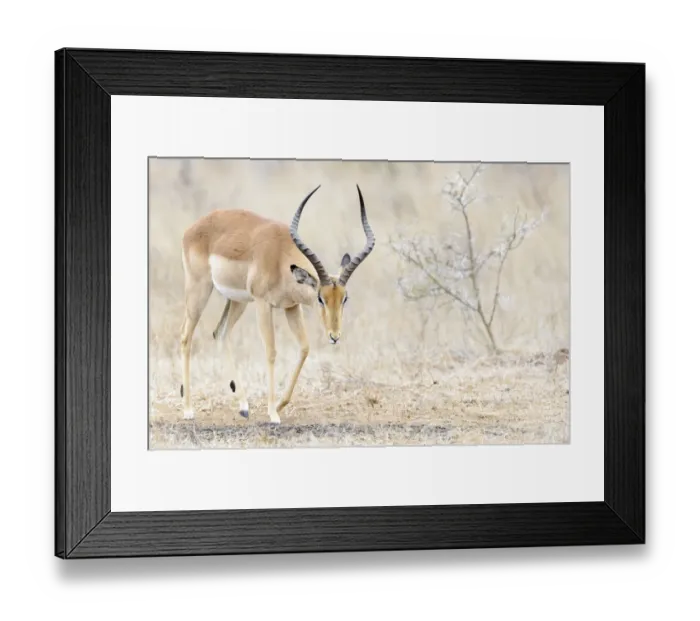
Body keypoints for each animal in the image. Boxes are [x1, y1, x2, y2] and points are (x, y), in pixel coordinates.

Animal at [179, 184, 375, 424]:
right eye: (320, 297)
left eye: (344, 298)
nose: (334, 336)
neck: (280, 257)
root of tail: (193, 228)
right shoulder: (263, 304)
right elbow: (271, 351)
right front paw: (273, 413)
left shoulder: (291, 307)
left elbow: (305, 348)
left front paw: (281, 404)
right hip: (200, 290)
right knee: (186, 337)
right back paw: (188, 410)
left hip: (238, 301)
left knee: (221, 333)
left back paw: (244, 407)